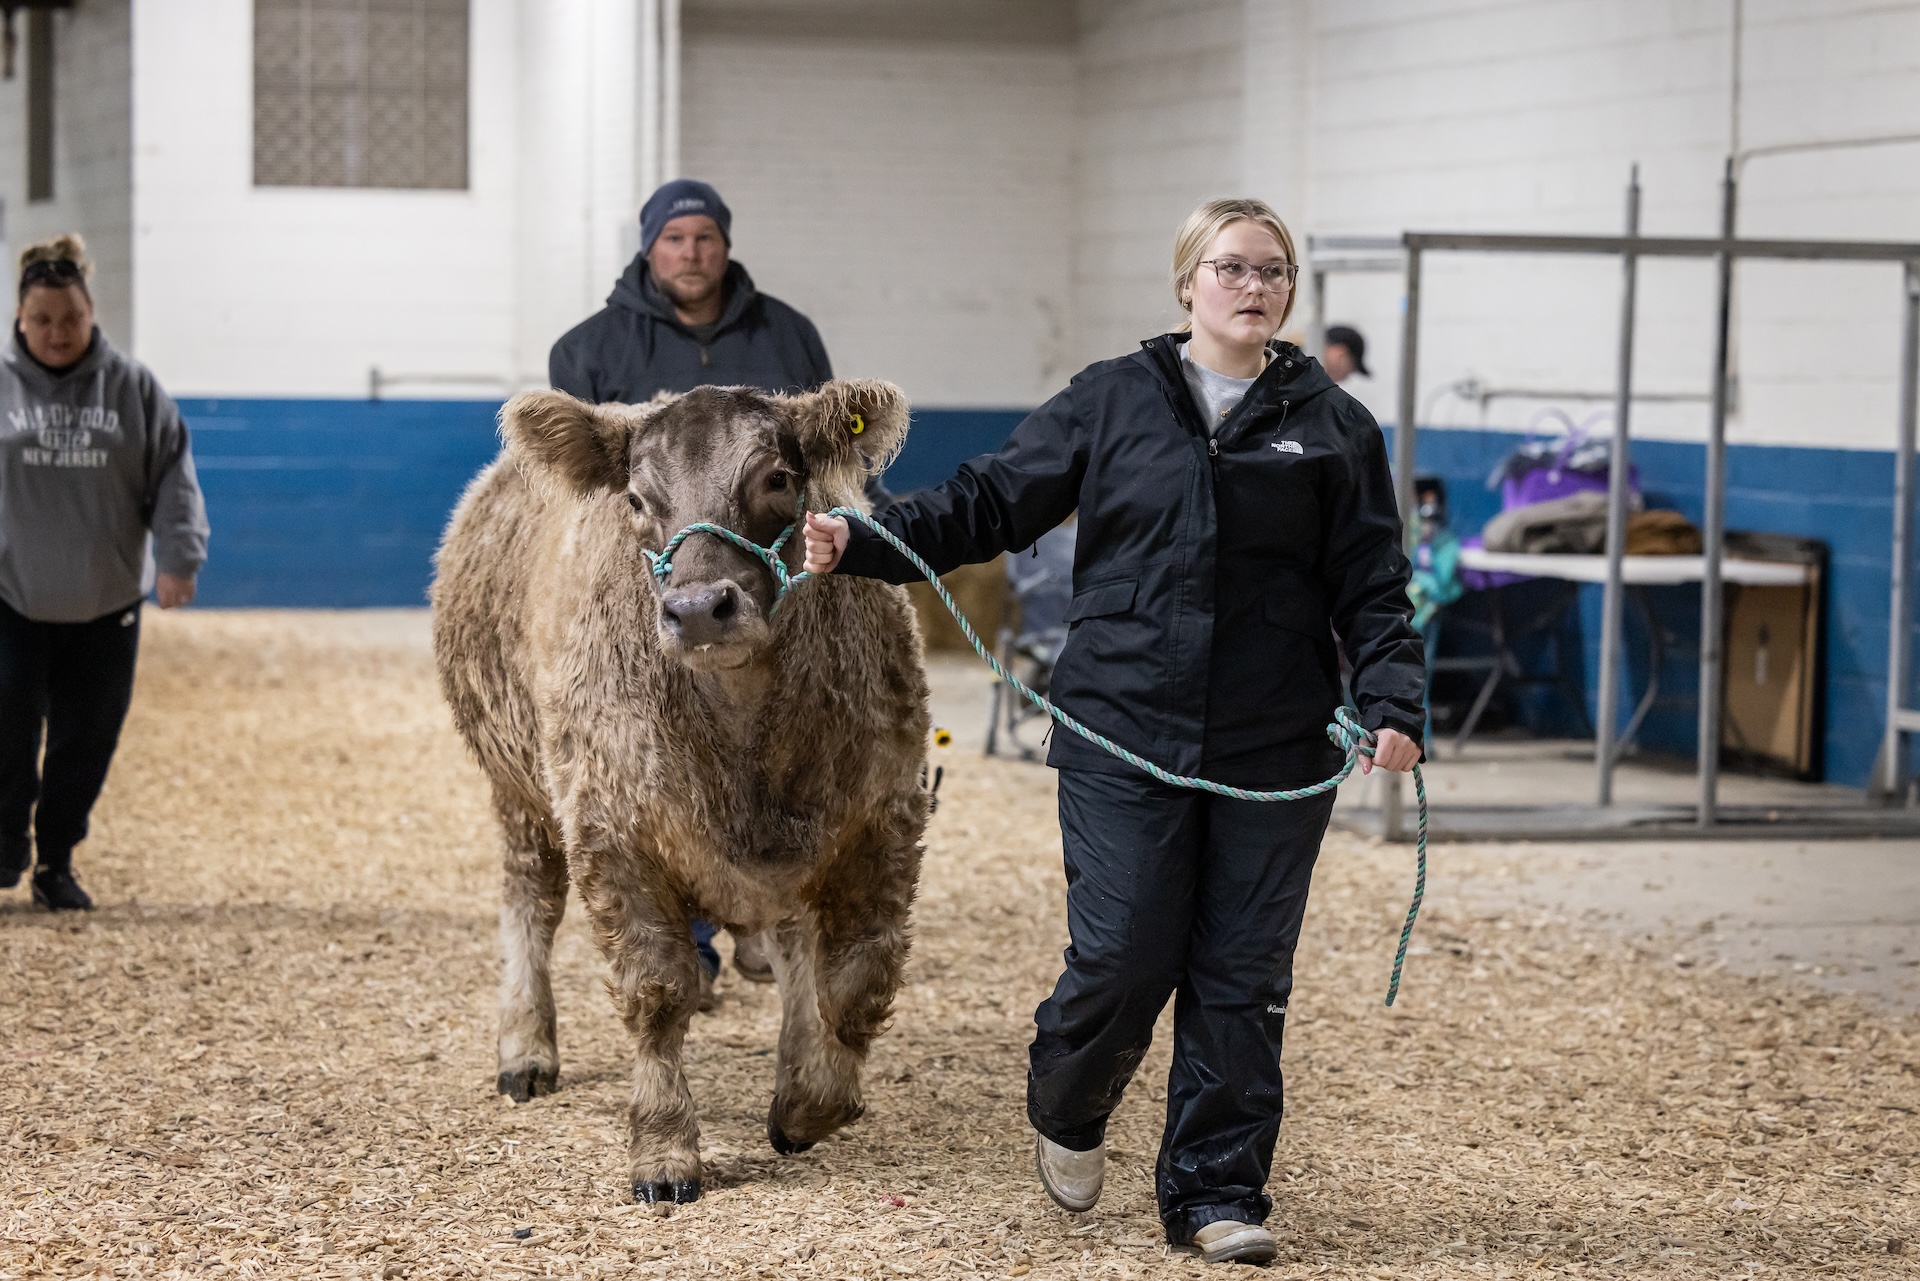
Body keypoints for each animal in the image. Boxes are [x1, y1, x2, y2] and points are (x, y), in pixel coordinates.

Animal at [432, 380, 925, 1206]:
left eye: (777, 478)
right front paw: (663, 1149)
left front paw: (809, 1100)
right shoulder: (612, 831)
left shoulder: (885, 821)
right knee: (530, 902)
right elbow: (658, 988)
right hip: (518, 784)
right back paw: (526, 1046)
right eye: (636, 497)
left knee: (794, 944)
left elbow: (855, 984)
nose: (697, 609)